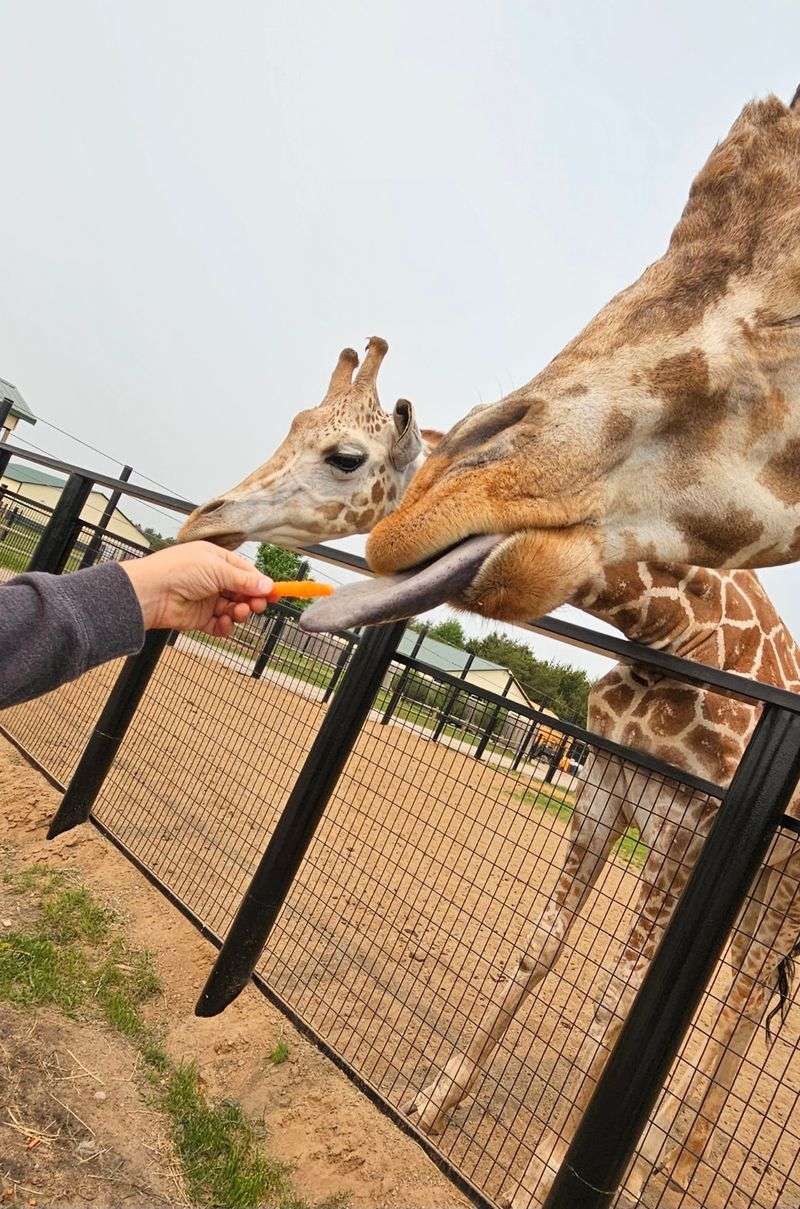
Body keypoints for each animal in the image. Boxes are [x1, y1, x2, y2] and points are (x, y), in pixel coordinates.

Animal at [184, 342, 800, 1207]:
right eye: (296, 423)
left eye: (345, 456)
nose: (206, 518)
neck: (675, 629)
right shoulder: (604, 793)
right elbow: (539, 949)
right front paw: (436, 1096)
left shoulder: (685, 833)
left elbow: (617, 998)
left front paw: (540, 1174)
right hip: (759, 888)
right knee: (737, 993)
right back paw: (667, 1153)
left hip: (786, 890)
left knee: (741, 1002)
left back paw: (672, 1164)